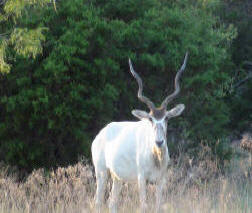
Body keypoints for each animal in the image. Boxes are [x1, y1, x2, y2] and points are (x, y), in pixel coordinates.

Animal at [91, 52, 188, 213]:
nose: (159, 142)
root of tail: (100, 135)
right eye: (150, 118)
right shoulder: (142, 179)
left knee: (112, 203)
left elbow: (158, 206)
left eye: (167, 118)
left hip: (117, 178)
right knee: (98, 202)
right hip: (102, 172)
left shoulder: (160, 181)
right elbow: (144, 206)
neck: (156, 157)